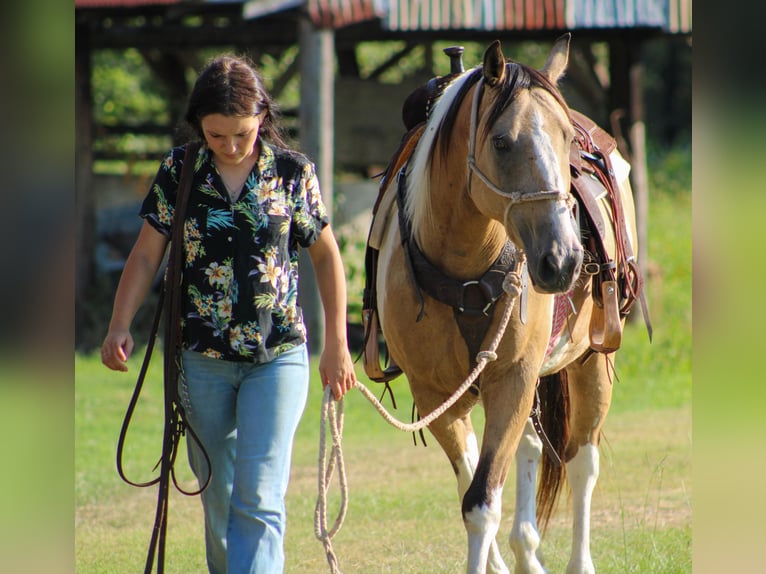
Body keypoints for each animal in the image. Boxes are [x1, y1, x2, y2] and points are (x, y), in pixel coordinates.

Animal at [366, 36, 648, 574]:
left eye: (566, 139)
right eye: (501, 142)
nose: (563, 259)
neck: (465, 270)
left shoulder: (513, 377)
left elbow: (483, 499)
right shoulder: (435, 396)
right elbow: (471, 486)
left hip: (590, 360)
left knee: (582, 462)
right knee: (532, 448)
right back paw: (525, 552)